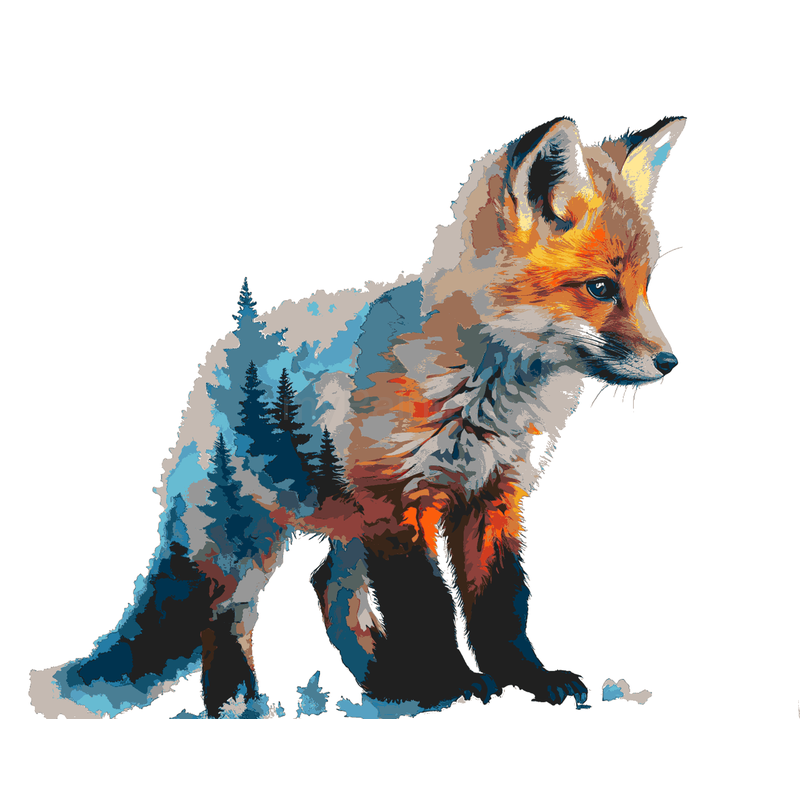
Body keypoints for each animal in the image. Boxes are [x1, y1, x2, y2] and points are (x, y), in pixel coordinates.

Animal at [31, 115, 686, 719]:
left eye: (646, 286)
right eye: (600, 287)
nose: (670, 362)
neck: (484, 400)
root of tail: (225, 350)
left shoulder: (495, 495)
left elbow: (500, 606)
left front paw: (525, 680)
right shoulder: (400, 501)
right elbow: (428, 609)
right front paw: (453, 686)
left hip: (347, 524)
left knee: (329, 592)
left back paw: (386, 685)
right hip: (250, 531)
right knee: (227, 610)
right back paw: (238, 701)